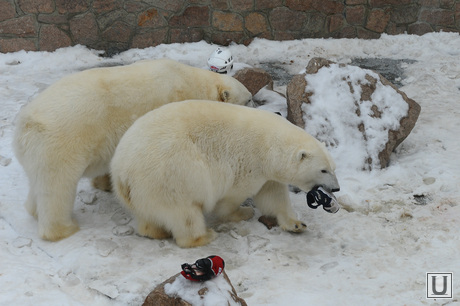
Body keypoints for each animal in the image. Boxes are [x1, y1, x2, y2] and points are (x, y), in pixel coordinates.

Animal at [13, 58, 252, 240]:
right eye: (248, 100)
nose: (254, 104)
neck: (191, 81)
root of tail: (25, 123)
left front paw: (104, 183)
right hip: (60, 144)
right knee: (57, 187)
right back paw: (63, 229)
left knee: (38, 184)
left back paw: (34, 211)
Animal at [110, 100, 342, 249]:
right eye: (323, 170)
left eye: (333, 168)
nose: (336, 188)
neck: (269, 145)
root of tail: (122, 173)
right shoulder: (249, 163)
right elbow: (234, 195)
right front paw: (243, 212)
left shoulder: (268, 173)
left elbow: (274, 196)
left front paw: (296, 224)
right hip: (171, 176)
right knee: (184, 213)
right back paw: (203, 236)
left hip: (143, 192)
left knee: (150, 215)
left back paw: (156, 231)